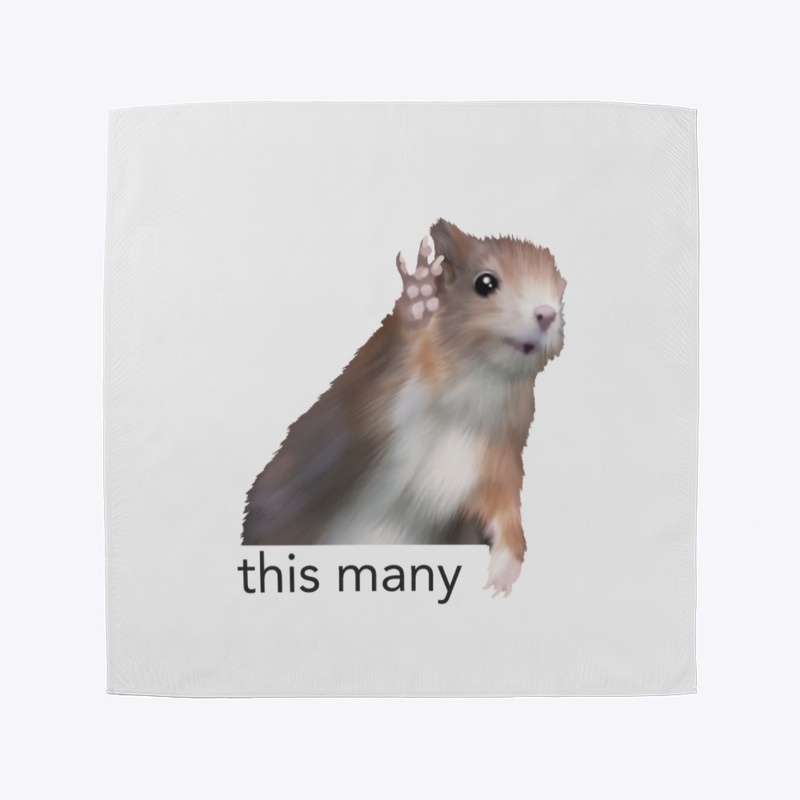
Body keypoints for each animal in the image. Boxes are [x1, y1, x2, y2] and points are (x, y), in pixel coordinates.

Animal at [242, 219, 566, 596]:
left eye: (560, 288)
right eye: (485, 283)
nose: (547, 313)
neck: (478, 382)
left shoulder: (497, 456)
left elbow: (503, 507)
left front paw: (506, 567)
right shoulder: (345, 432)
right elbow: (374, 412)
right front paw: (417, 300)